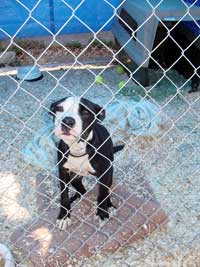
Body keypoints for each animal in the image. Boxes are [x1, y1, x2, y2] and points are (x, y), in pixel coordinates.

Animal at [48, 96, 123, 230]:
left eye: (86, 112)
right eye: (59, 108)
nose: (67, 121)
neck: (77, 148)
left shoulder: (105, 173)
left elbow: (103, 193)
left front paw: (102, 213)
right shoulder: (63, 172)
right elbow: (64, 194)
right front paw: (64, 216)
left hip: (110, 171)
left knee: (107, 190)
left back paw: (109, 205)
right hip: (74, 177)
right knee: (81, 190)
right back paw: (75, 198)